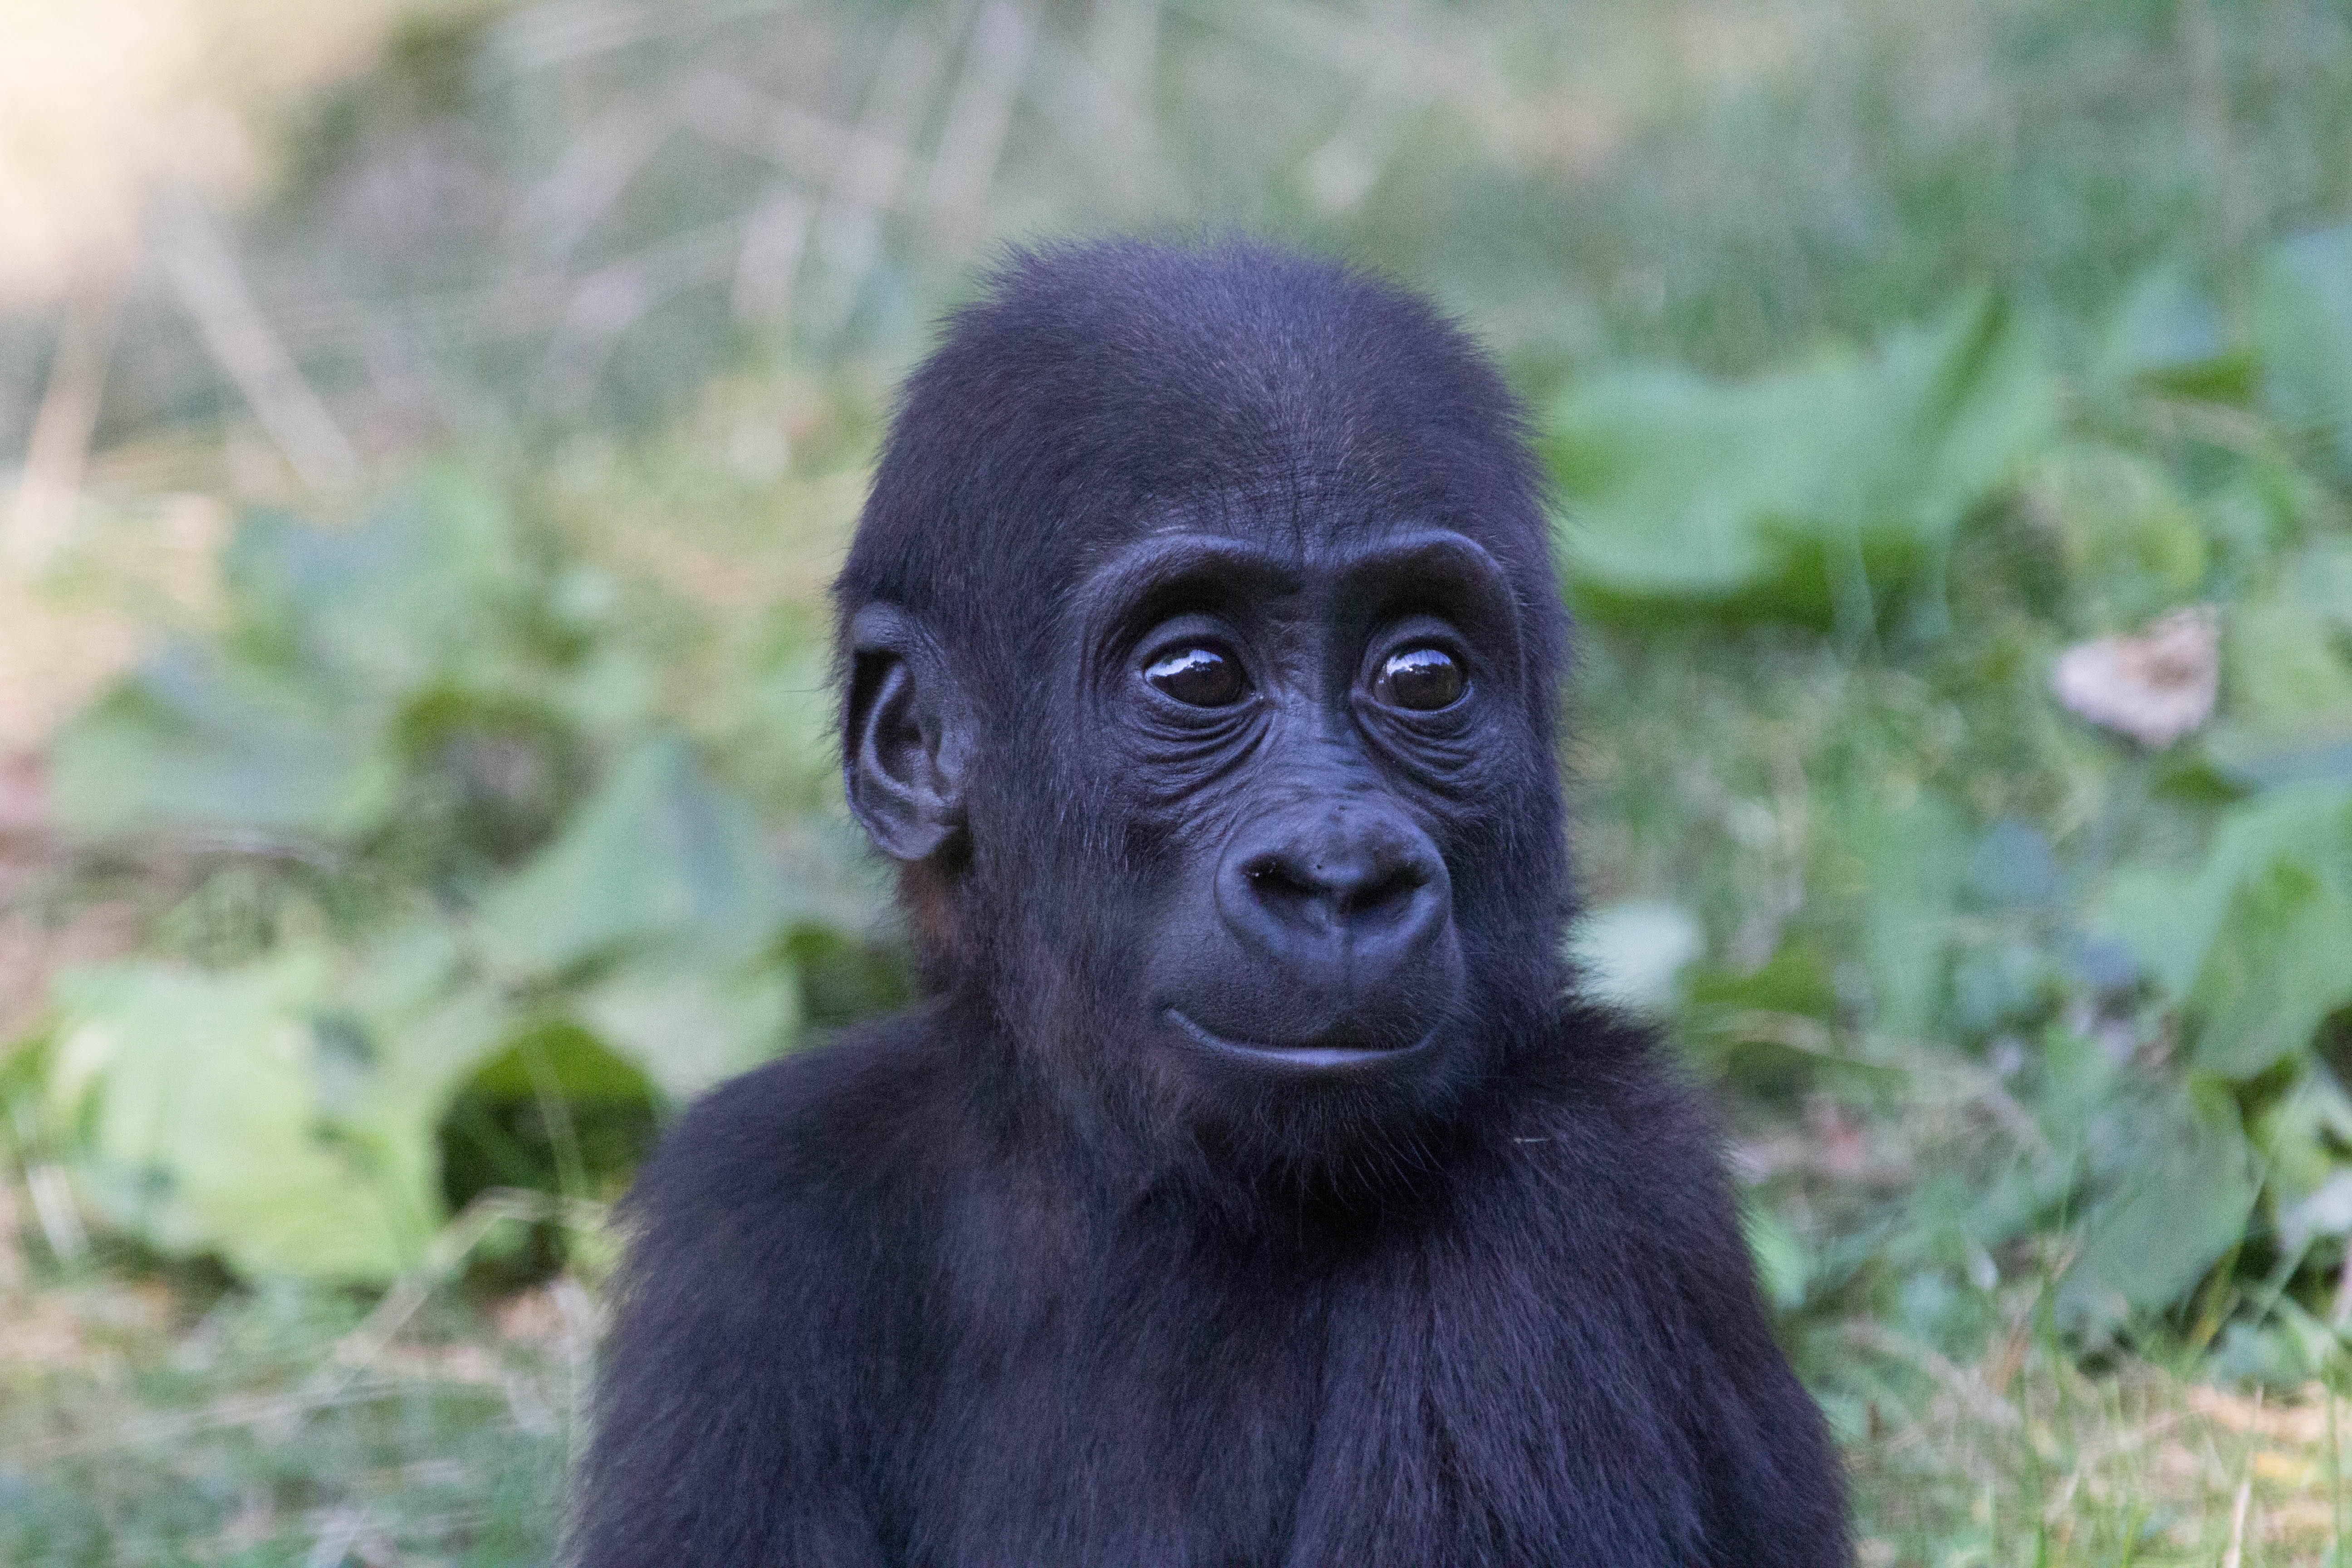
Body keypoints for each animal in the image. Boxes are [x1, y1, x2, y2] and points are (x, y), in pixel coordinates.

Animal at [573, 240, 1853, 1561]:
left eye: (1423, 674)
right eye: (1196, 674)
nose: (1340, 876)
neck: (1116, 1180)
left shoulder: (1584, 1199)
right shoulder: (747, 1207)